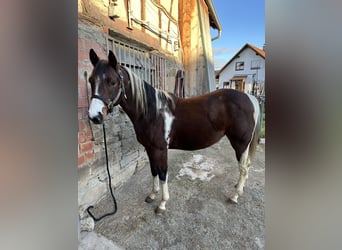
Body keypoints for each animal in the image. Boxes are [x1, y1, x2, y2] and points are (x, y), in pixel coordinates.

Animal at [87, 49, 260, 215]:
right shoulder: (149, 148)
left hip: (240, 144)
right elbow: (154, 171)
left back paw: (235, 195)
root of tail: (250, 98)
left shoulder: (161, 149)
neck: (152, 112)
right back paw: (238, 187)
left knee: (244, 168)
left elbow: (163, 174)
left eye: (113, 82)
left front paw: (162, 204)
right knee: (246, 166)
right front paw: (152, 195)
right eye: (90, 80)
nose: (94, 116)